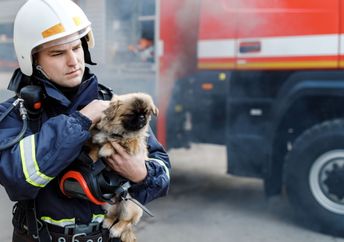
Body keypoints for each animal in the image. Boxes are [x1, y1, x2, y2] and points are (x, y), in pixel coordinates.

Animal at [88, 92, 159, 240]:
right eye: (131, 114)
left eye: (146, 113)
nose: (142, 118)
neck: (118, 130)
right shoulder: (97, 139)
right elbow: (96, 146)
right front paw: (93, 156)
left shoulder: (133, 144)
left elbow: (119, 141)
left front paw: (106, 148)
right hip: (107, 205)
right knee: (113, 215)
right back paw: (107, 223)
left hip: (129, 204)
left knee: (124, 221)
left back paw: (116, 229)